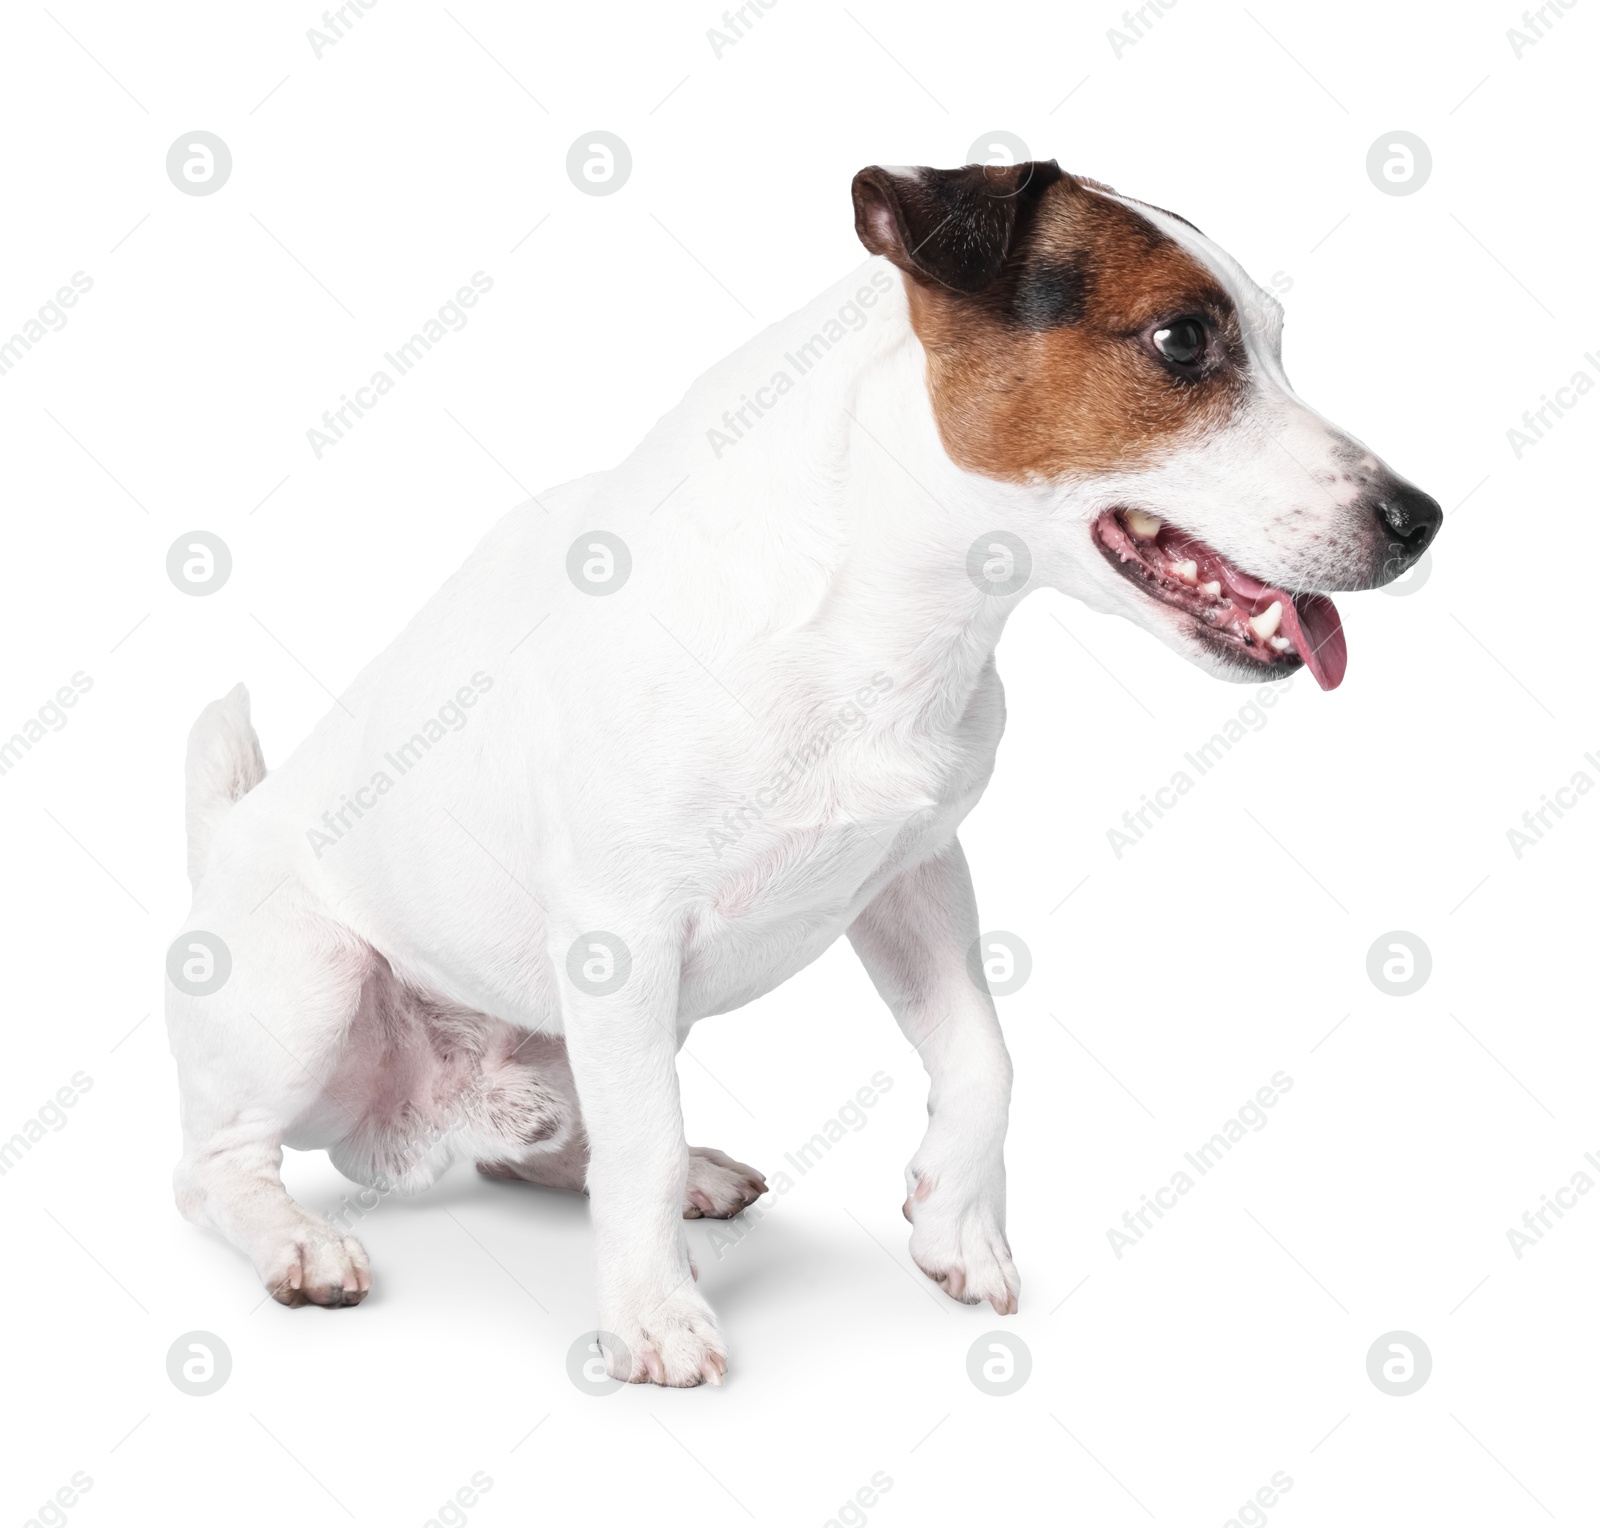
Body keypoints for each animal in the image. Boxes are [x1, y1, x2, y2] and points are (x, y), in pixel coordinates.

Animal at [168, 158, 1446, 1388]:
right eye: (1182, 340)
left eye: (1276, 339)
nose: (1420, 518)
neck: (882, 606)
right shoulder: (622, 931)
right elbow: (639, 1143)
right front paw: (653, 1315)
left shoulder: (915, 876)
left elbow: (983, 1057)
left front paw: (955, 1222)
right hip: (315, 982)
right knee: (216, 1166)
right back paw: (297, 1240)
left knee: (549, 1143)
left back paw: (668, 1168)